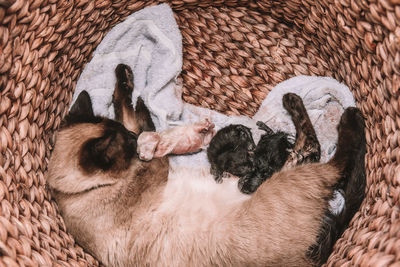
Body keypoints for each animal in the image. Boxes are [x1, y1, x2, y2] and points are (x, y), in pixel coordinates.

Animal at [47, 63, 366, 267]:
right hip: (292, 178)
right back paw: (342, 115)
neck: (72, 193)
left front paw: (126, 80)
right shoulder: (155, 166)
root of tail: (309, 260)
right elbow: (136, 118)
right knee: (325, 156)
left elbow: (125, 107)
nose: (136, 142)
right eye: (126, 144)